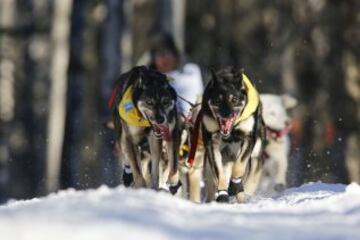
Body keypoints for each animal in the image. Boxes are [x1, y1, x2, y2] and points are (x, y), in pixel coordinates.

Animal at [107, 65, 180, 193]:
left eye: (165, 102)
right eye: (149, 102)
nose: (161, 119)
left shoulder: (169, 133)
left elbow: (170, 161)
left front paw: (171, 181)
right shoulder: (130, 138)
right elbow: (136, 167)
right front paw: (141, 186)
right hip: (122, 136)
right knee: (128, 156)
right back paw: (127, 175)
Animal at [198, 68, 266, 202]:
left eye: (234, 100)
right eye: (218, 100)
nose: (226, 114)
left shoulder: (248, 138)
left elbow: (239, 167)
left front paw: (235, 186)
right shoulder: (212, 143)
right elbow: (219, 173)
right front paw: (222, 193)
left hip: (253, 155)